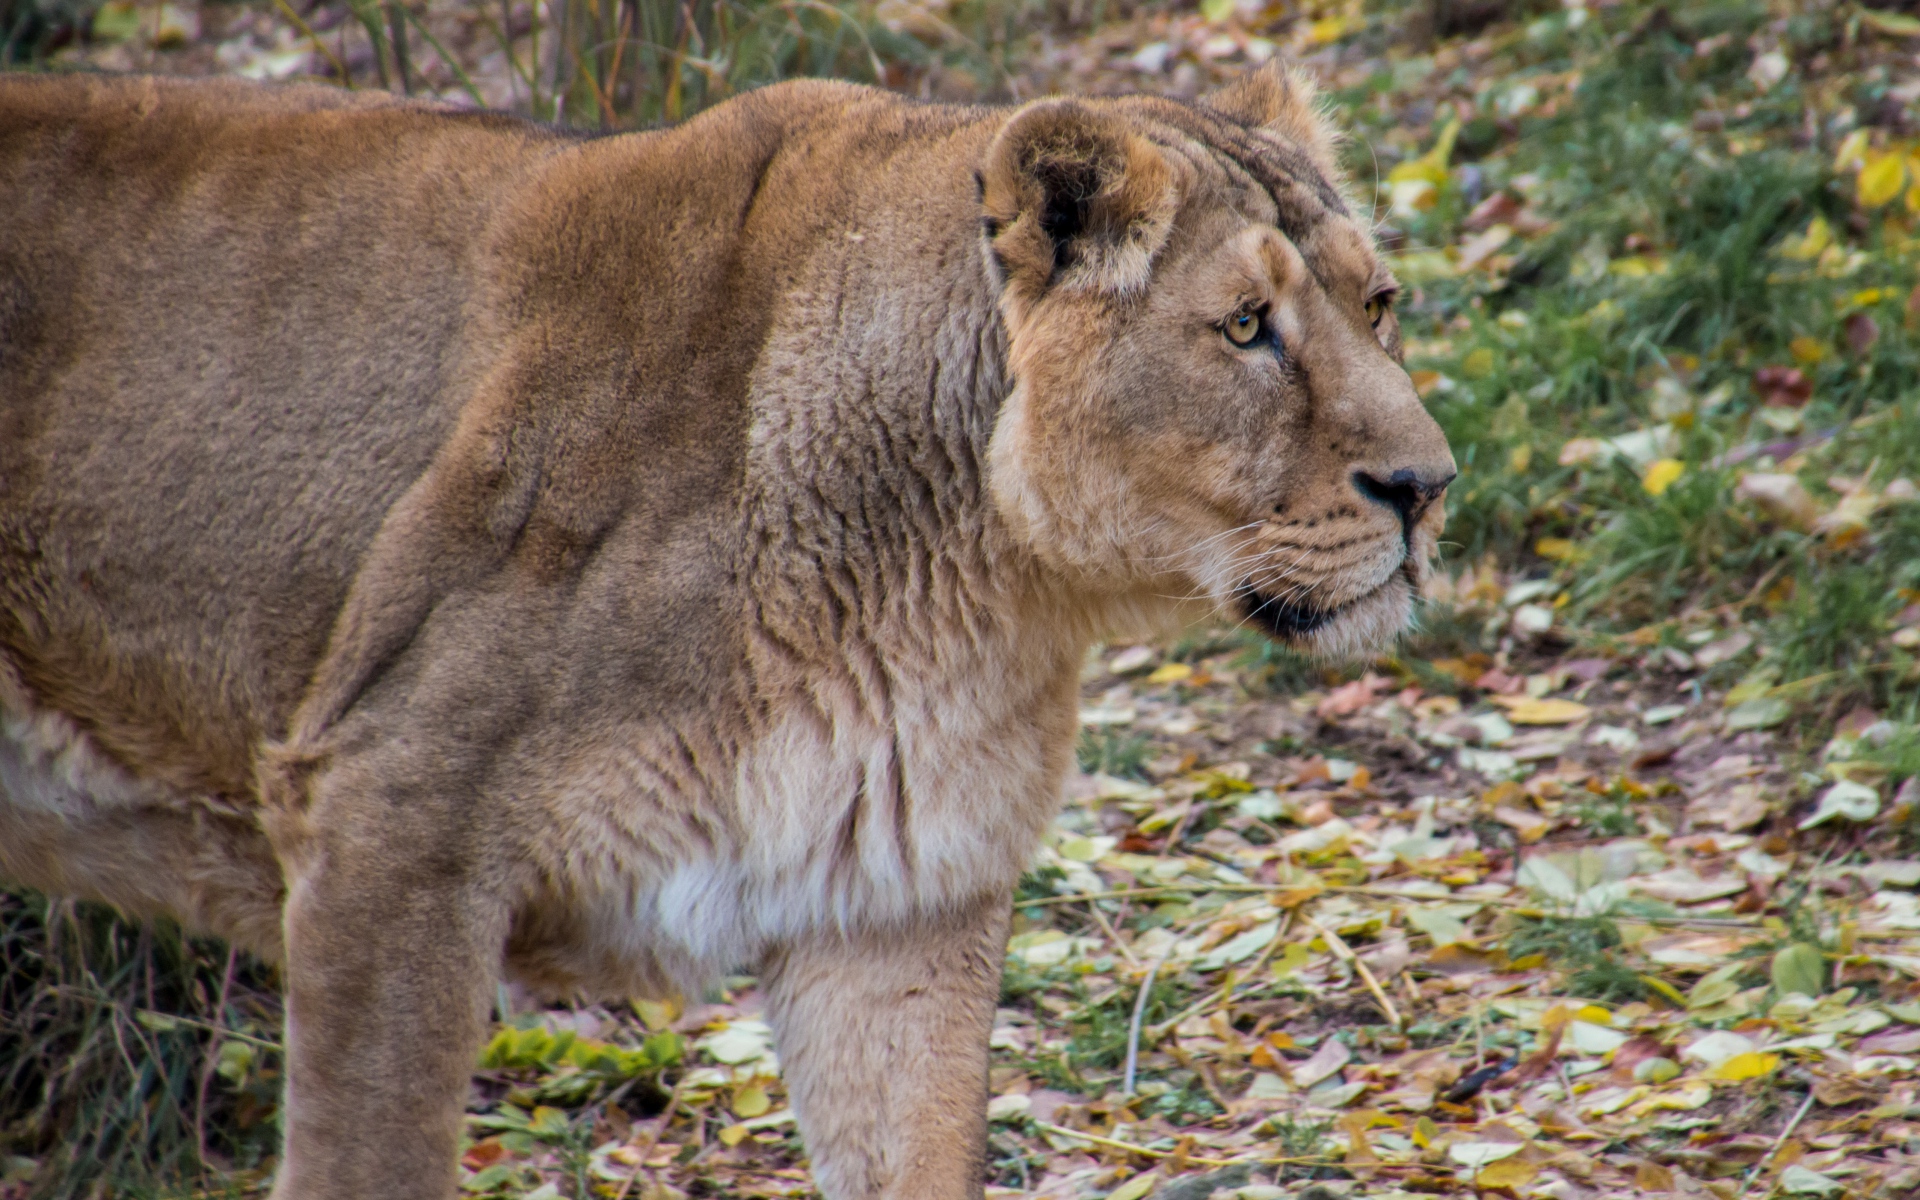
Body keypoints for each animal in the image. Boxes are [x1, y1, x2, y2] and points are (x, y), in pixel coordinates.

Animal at [0, 64, 1452, 1199]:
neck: (972, 586)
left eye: (1378, 306)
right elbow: (372, 1157)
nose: (1430, 487)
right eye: (1247, 329)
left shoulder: (899, 908)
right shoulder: (388, 823)